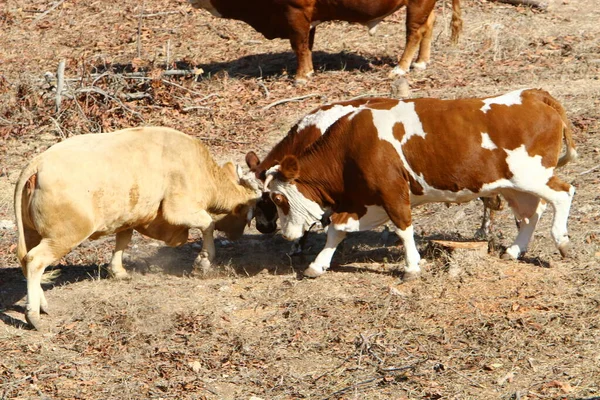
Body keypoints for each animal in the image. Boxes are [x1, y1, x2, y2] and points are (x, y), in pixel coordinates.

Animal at [13, 126, 262, 330]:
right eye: (249, 212)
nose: (238, 234)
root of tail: (38, 163)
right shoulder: (178, 207)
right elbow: (207, 224)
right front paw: (204, 261)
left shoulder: (129, 216)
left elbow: (123, 240)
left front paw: (118, 271)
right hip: (65, 235)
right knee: (35, 260)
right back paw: (33, 315)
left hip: (32, 232)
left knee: (26, 259)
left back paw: (41, 304)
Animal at [190, 0, 462, 82]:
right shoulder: (307, 17)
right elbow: (306, 45)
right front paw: (308, 70)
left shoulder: (295, 13)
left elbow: (299, 45)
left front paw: (301, 76)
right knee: (428, 24)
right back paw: (421, 62)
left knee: (414, 31)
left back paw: (401, 67)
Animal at [262, 89, 576, 280]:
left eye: (277, 199)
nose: (284, 234)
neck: (352, 144)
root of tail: (531, 94)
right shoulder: (366, 201)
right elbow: (337, 229)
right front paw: (317, 265)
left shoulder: (392, 191)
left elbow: (403, 228)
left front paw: (412, 267)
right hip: (515, 186)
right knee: (531, 214)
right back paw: (514, 250)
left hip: (531, 177)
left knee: (563, 194)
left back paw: (561, 241)